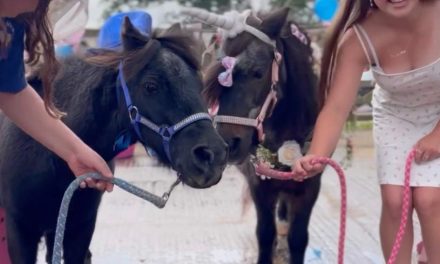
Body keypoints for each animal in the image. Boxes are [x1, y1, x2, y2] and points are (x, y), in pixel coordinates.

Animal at [205, 8, 322, 264]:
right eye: (217, 79)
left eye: (258, 73)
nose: (228, 143)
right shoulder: (259, 184)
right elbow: (266, 234)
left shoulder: (310, 187)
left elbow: (299, 238)